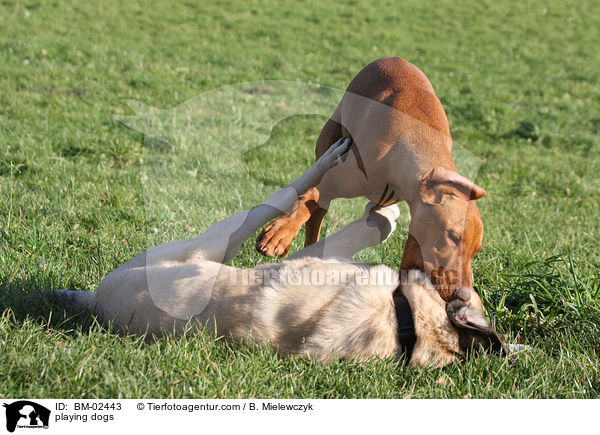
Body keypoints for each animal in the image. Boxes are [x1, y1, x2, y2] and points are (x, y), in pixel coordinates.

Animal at [51, 140, 506, 368]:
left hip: (206, 244)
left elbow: (361, 229)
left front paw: (383, 217)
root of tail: (98, 301)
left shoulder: (311, 261)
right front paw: (384, 215)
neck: (404, 322)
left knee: (275, 199)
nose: (456, 290)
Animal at [258, 57, 488, 304]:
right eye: (453, 236)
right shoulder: (330, 183)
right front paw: (280, 233)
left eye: (476, 251)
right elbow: (307, 200)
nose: (464, 296)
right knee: (316, 215)